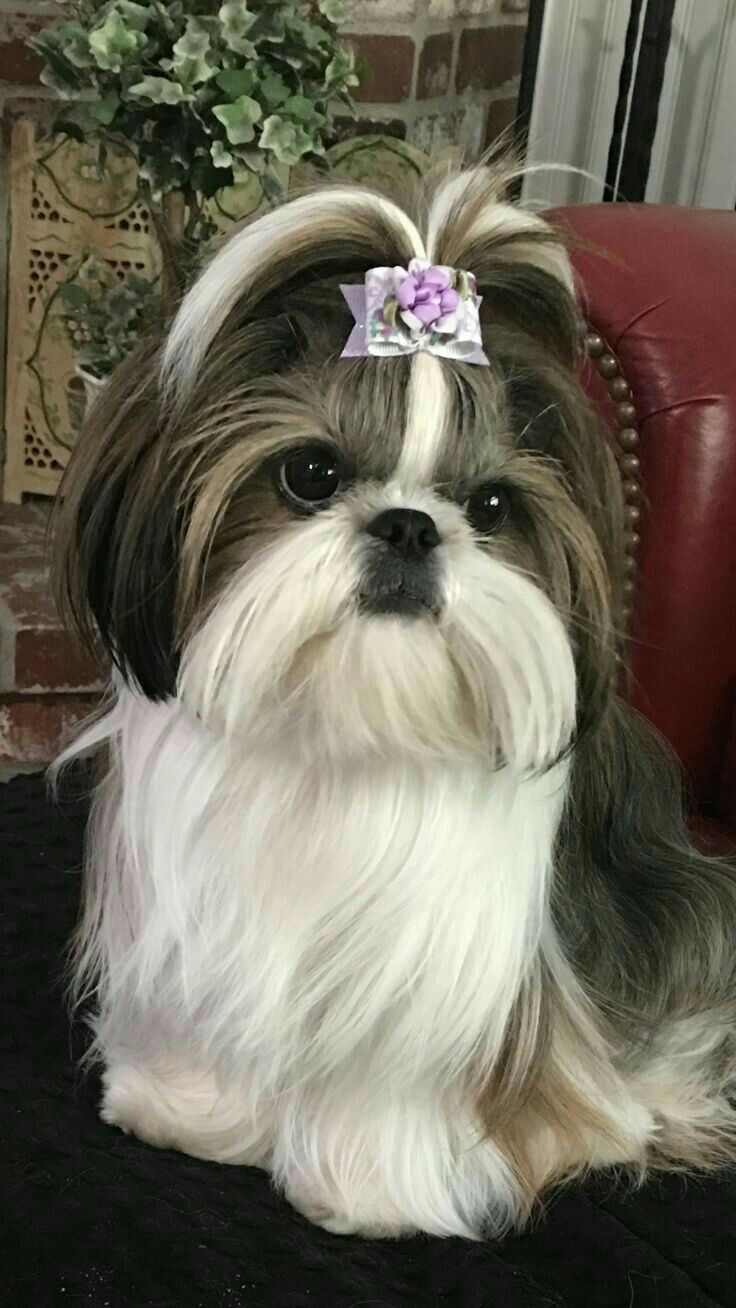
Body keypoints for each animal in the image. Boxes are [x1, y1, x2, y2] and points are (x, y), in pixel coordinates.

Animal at [53, 160, 736, 1234]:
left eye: (493, 505)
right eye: (311, 472)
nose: (412, 525)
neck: (348, 732)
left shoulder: (444, 966)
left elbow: (398, 1078)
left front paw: (365, 1185)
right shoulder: (202, 912)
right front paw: (189, 1109)